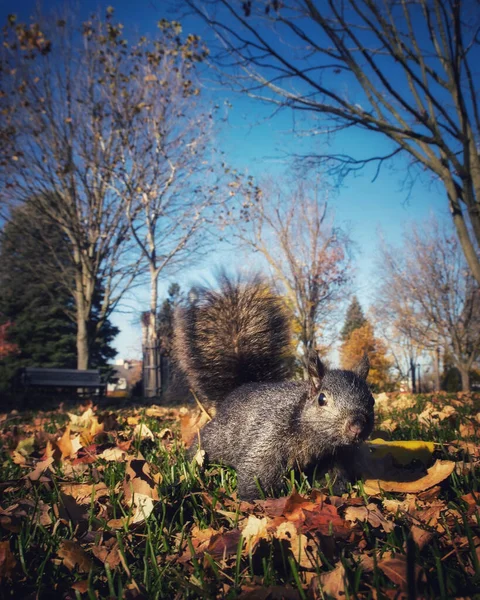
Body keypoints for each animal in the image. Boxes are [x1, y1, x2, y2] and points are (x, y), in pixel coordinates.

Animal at [173, 274, 376, 500]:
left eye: (372, 400)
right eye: (322, 399)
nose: (357, 426)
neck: (318, 439)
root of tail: (239, 389)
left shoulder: (334, 456)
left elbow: (335, 475)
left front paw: (336, 491)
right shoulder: (269, 436)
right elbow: (258, 470)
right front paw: (253, 499)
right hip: (218, 437)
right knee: (202, 447)